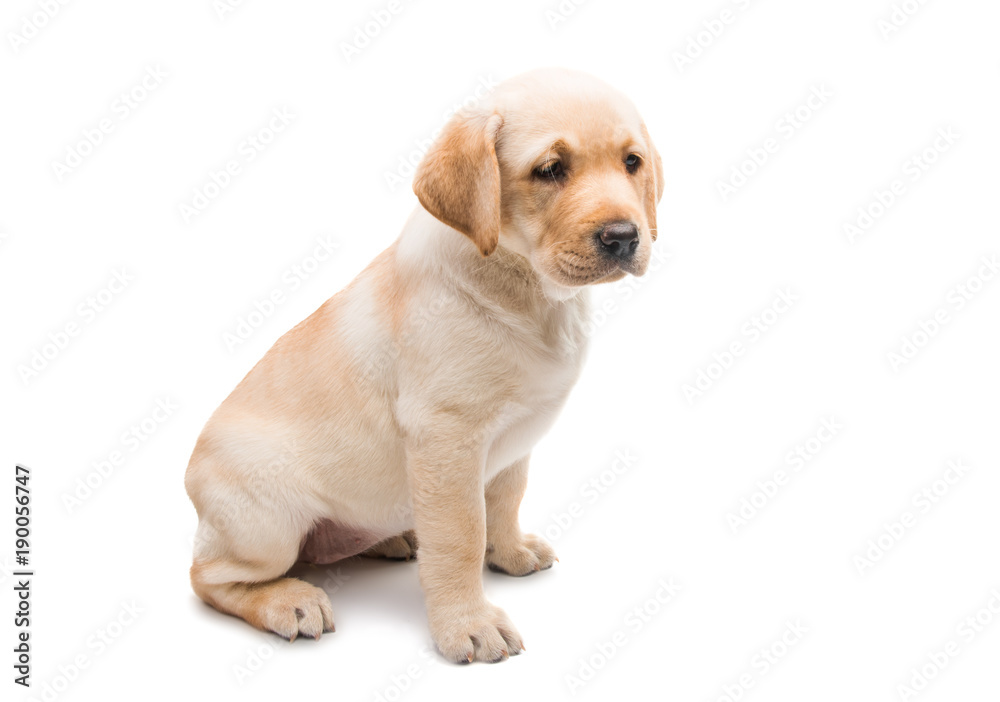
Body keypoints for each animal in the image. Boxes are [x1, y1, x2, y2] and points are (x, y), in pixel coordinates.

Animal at [186, 67, 664, 664]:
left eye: (632, 162)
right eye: (551, 169)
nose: (625, 237)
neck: (524, 288)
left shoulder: (515, 439)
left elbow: (504, 500)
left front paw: (509, 551)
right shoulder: (447, 436)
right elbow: (460, 535)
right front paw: (468, 623)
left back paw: (391, 538)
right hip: (266, 522)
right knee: (208, 578)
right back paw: (287, 601)